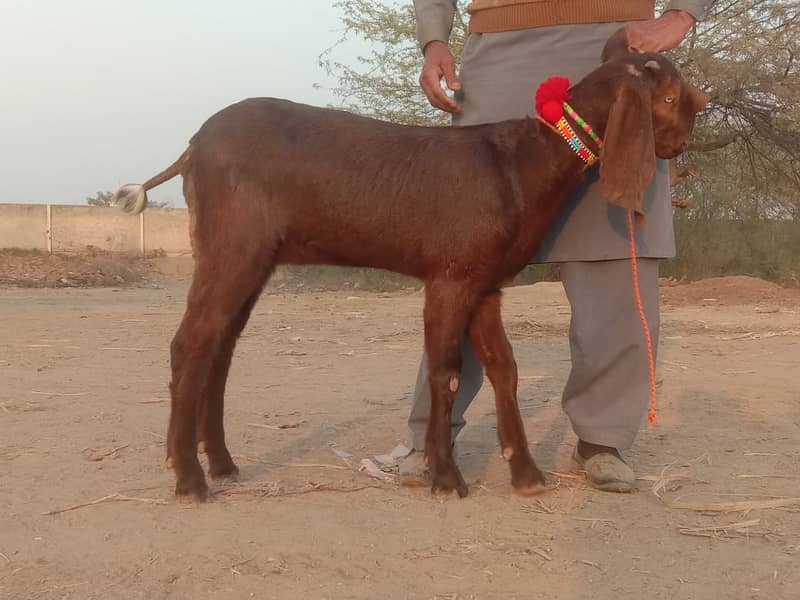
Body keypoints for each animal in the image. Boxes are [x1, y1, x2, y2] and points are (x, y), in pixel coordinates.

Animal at [112, 38, 708, 502]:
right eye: (669, 97)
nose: (682, 140)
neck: (522, 163)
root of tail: (192, 148)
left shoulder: (486, 283)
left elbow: (505, 369)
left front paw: (525, 473)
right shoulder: (450, 276)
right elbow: (446, 371)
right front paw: (446, 477)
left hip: (250, 258)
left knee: (220, 346)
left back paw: (223, 463)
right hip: (231, 245)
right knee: (191, 342)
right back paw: (189, 478)